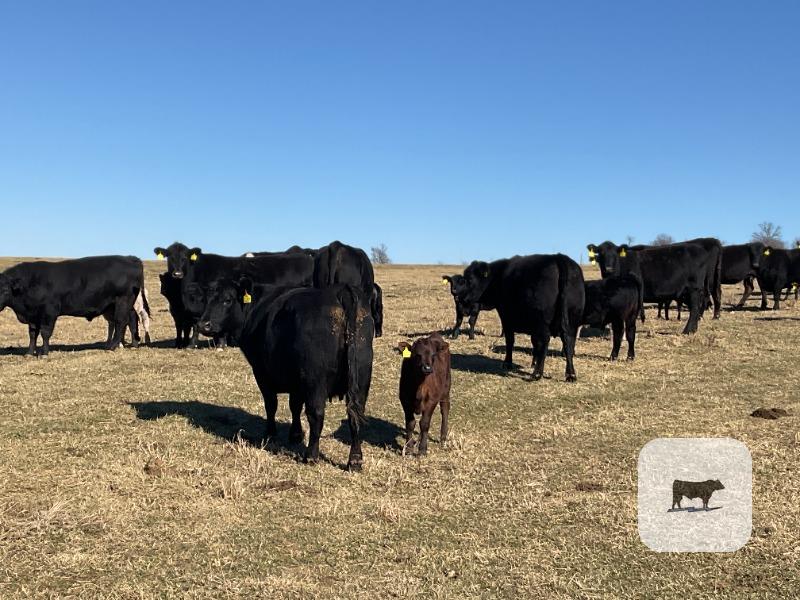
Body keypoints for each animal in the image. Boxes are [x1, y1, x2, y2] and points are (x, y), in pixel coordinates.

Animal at [0, 256, 145, 356]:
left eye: (5, 290)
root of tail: (130, 258)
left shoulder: (49, 312)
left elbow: (45, 333)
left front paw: (44, 353)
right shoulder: (33, 315)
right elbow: (32, 334)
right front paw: (30, 353)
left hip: (123, 300)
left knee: (121, 321)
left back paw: (113, 346)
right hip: (118, 305)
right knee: (131, 318)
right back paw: (133, 343)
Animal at [239, 284, 374, 471]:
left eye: (225, 298)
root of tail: (341, 290)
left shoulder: (262, 374)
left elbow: (271, 405)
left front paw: (270, 434)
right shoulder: (297, 384)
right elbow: (294, 406)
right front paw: (295, 435)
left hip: (315, 381)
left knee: (316, 415)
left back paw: (311, 455)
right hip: (361, 376)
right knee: (355, 416)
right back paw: (354, 460)